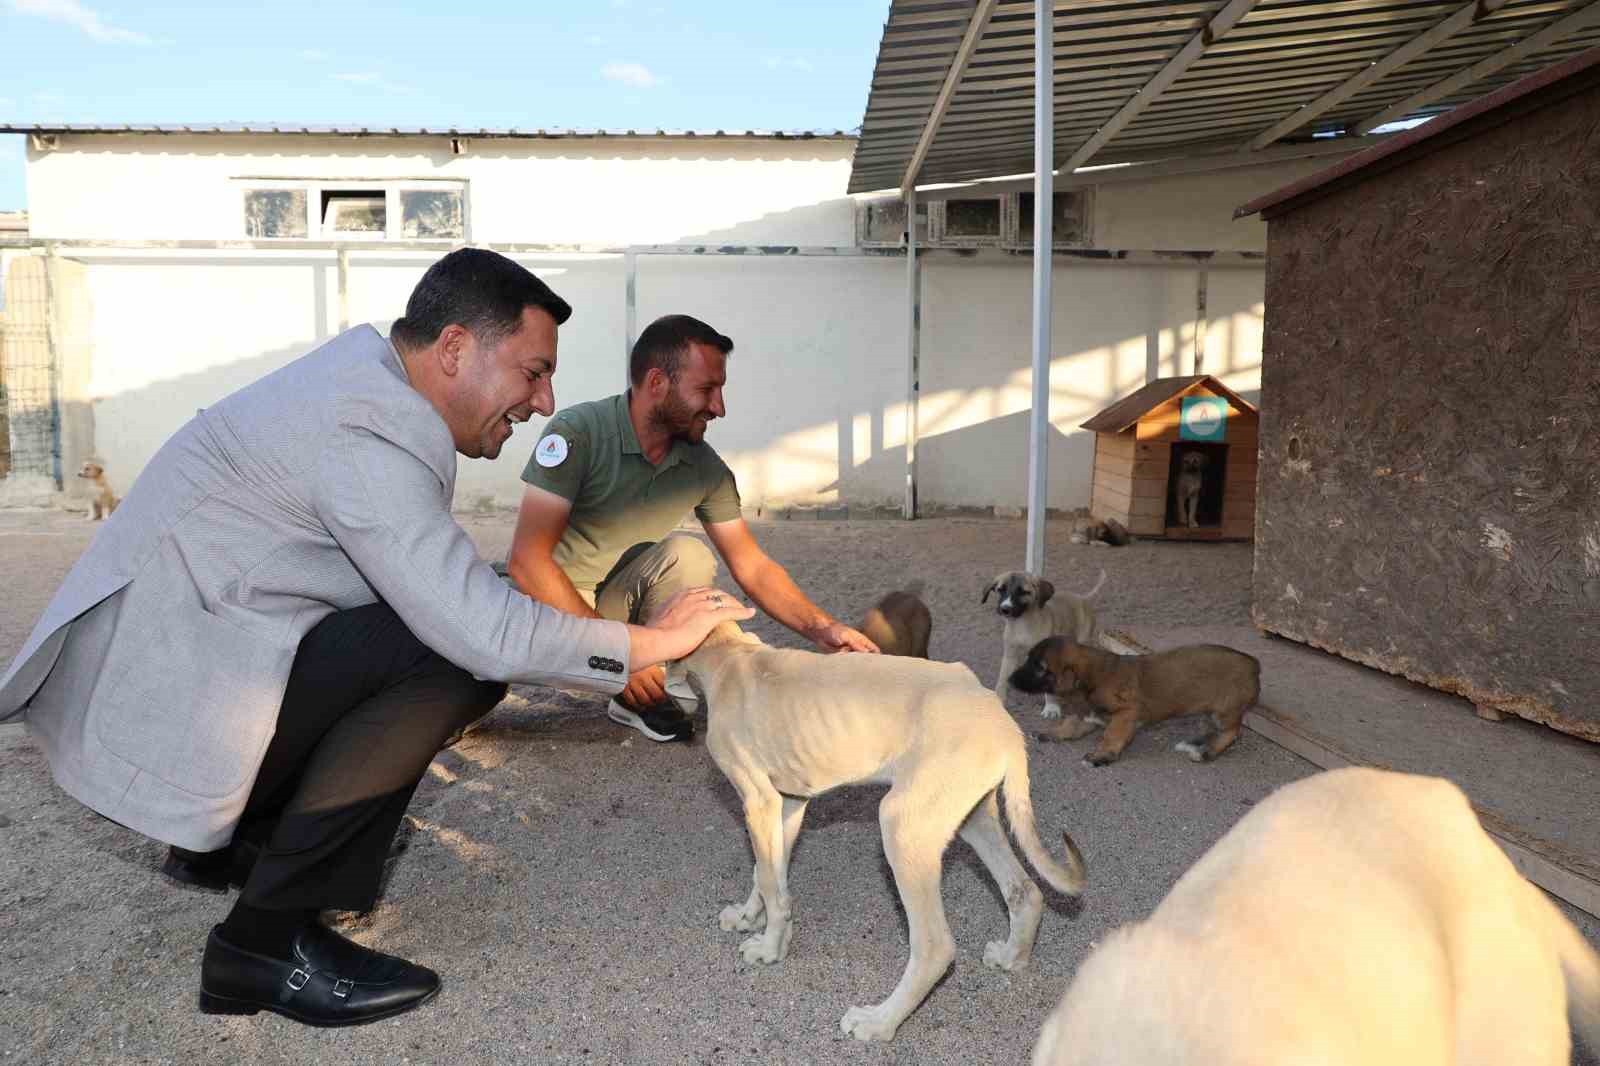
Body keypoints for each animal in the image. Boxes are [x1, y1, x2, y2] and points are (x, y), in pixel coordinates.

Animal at [662, 617, 1088, 1043]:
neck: (731, 658)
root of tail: (1002, 719)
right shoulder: (787, 804)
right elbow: (766, 873)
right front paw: (752, 918)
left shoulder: (758, 801)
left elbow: (769, 881)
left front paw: (768, 949)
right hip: (972, 817)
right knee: (1024, 891)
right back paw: (1012, 957)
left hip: (902, 826)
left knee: (934, 947)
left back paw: (879, 1021)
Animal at [979, 569, 1107, 717]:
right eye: (1001, 589)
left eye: (1023, 592)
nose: (1005, 609)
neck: (1023, 624)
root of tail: (1082, 598)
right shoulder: (1010, 655)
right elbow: (1002, 680)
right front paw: (998, 701)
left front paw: (1051, 707)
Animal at [1011, 630, 1260, 765]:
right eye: (1029, 659)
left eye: (1040, 668)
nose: (1010, 680)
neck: (1093, 677)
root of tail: (1253, 663)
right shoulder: (1088, 713)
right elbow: (1070, 725)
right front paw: (1052, 733)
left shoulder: (1126, 713)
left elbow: (1111, 735)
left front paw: (1101, 755)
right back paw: (1196, 743)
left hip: (1225, 711)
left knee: (1232, 732)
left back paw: (1207, 752)